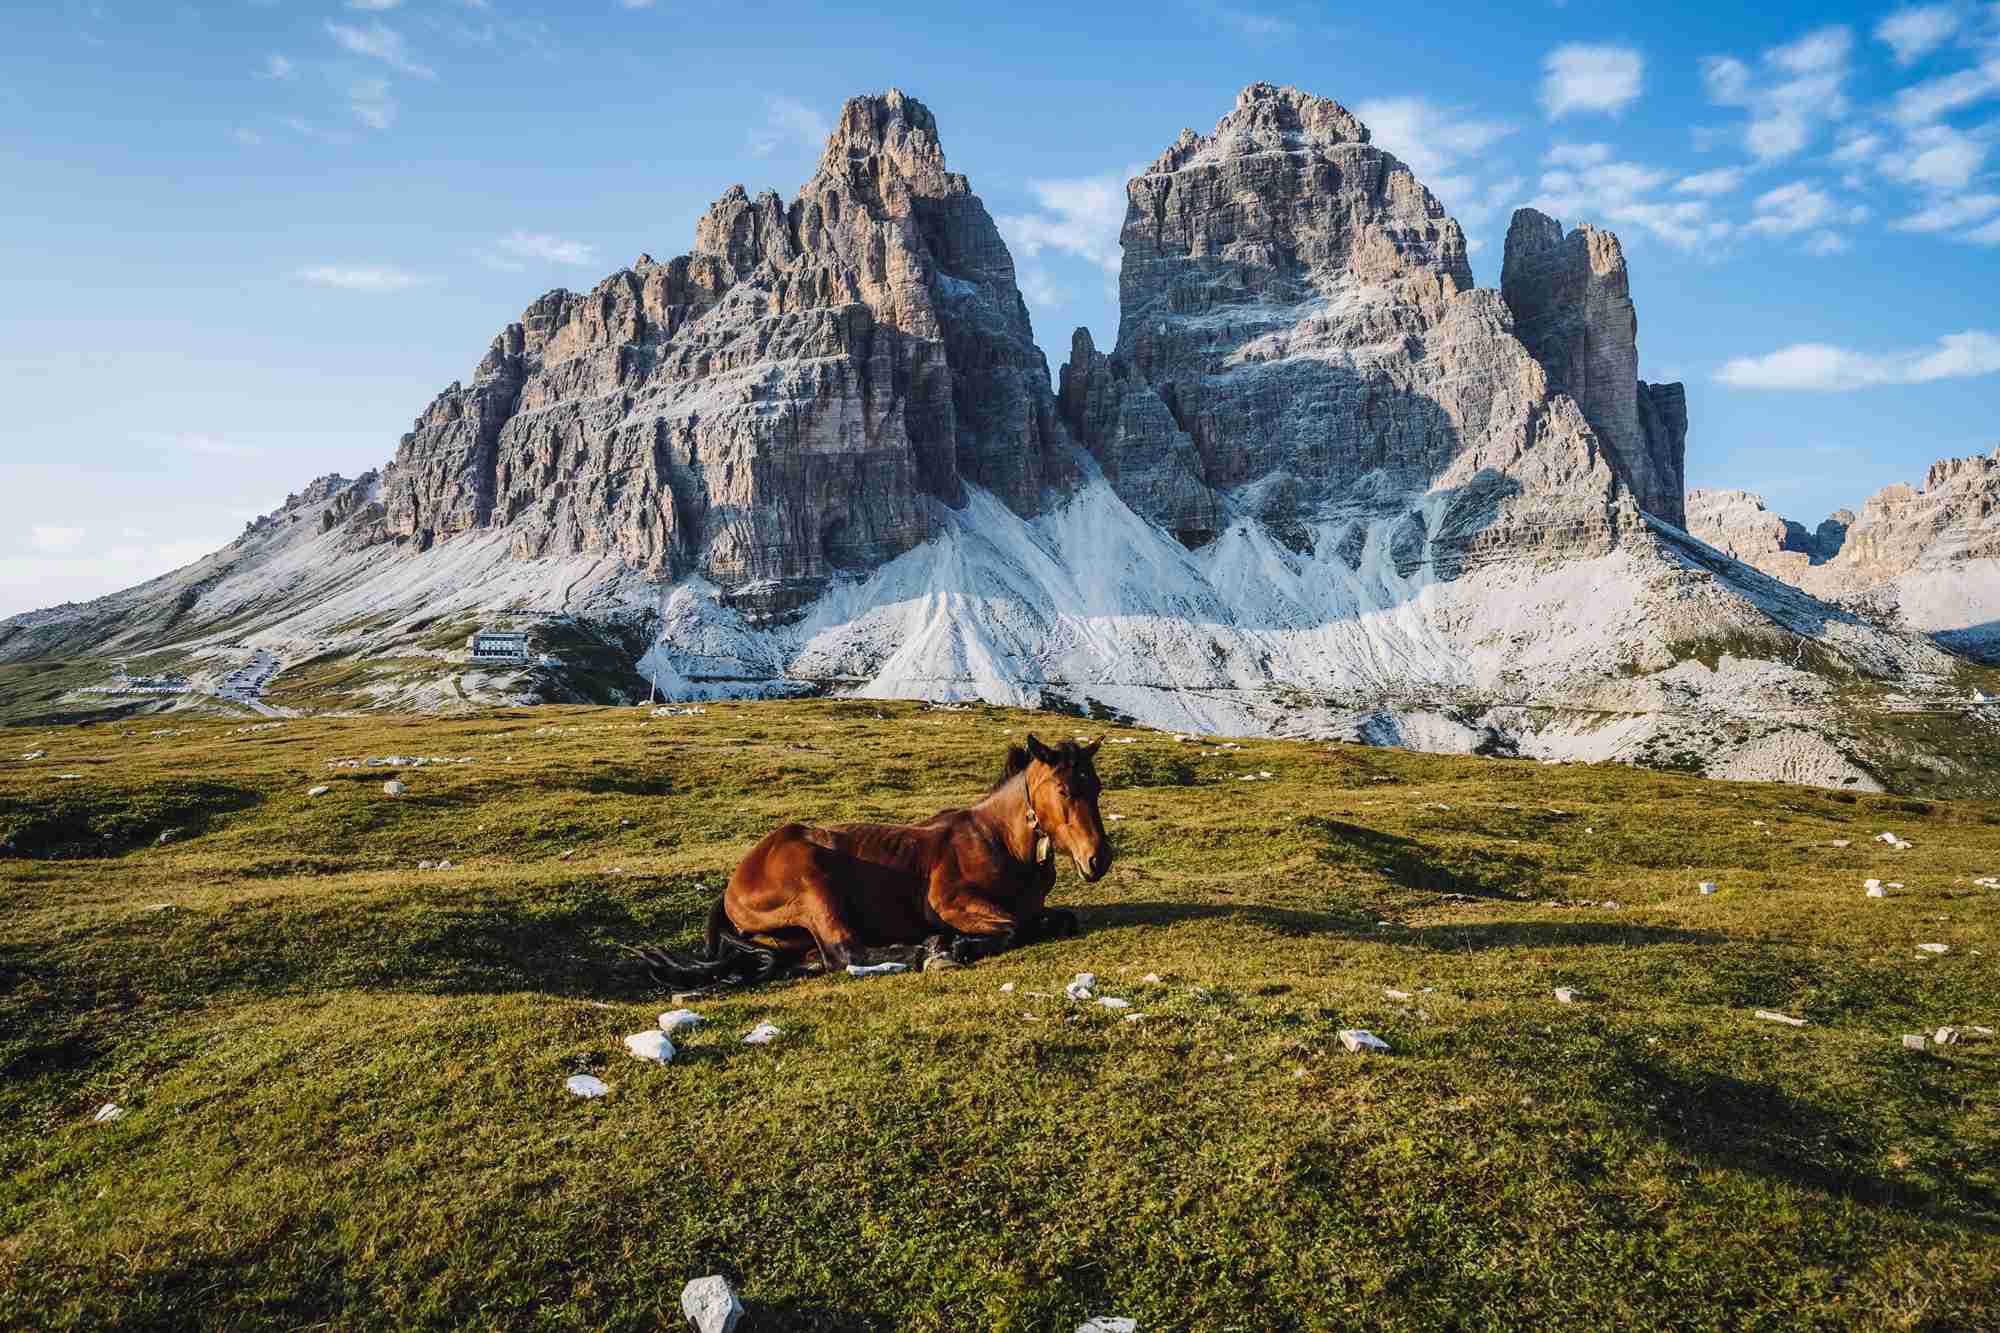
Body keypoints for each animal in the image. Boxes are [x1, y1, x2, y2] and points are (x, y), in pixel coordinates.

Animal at [627, 733, 1112, 988]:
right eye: (1065, 789)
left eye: (1097, 787)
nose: (1099, 859)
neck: (999, 843)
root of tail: (734, 883)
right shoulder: (951, 903)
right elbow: (1012, 927)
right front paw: (956, 945)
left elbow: (1058, 919)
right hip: (815, 883)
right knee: (843, 951)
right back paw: (929, 950)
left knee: (817, 957)